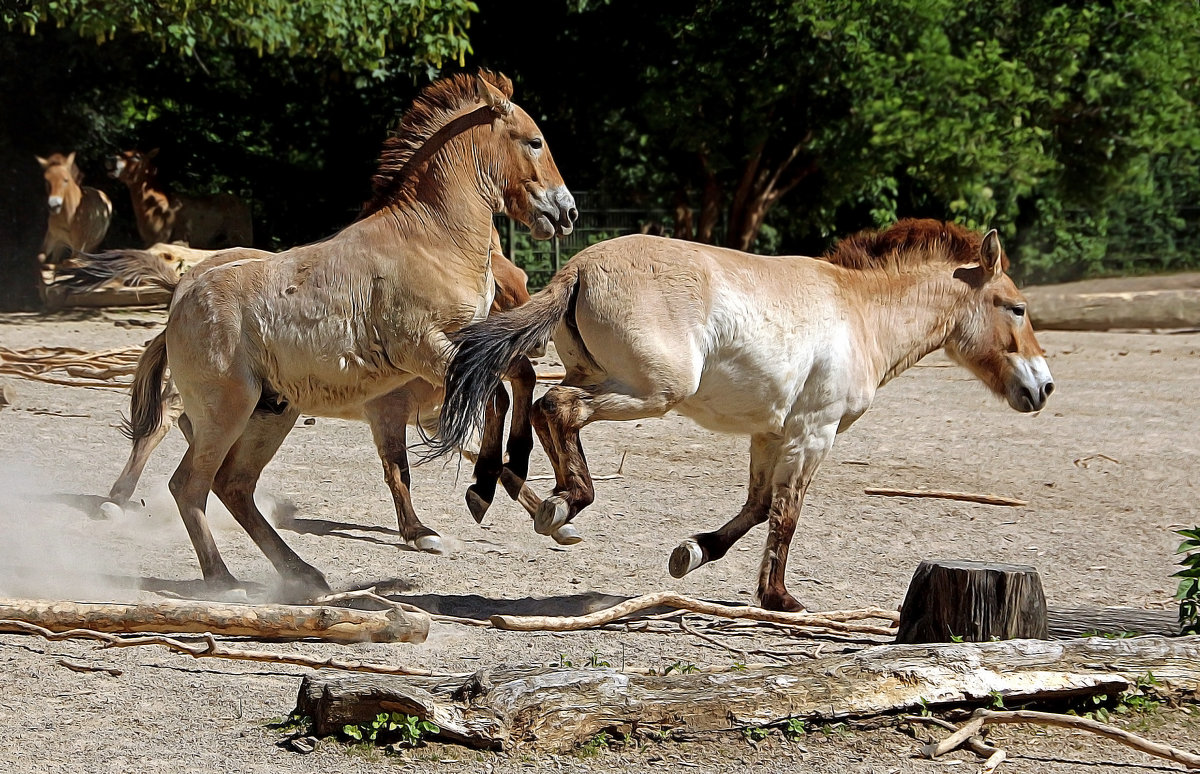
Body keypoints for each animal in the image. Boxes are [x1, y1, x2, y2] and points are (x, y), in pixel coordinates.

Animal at [124, 69, 573, 595]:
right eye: (535, 141)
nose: (567, 212)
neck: (430, 239)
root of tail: (177, 309)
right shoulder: (426, 349)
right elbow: (493, 398)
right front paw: (479, 492)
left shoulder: (470, 343)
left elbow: (518, 379)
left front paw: (531, 498)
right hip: (226, 413)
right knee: (190, 486)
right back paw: (224, 579)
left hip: (270, 413)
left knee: (232, 486)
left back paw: (302, 573)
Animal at [429, 217, 1051, 609]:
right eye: (1017, 308)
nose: (1043, 387)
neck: (860, 314)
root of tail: (576, 269)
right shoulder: (815, 434)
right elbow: (786, 514)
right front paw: (780, 599)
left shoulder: (770, 434)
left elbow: (756, 508)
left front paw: (692, 552)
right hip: (653, 392)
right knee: (556, 407)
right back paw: (563, 503)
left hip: (603, 377)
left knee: (537, 404)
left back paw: (536, 497)